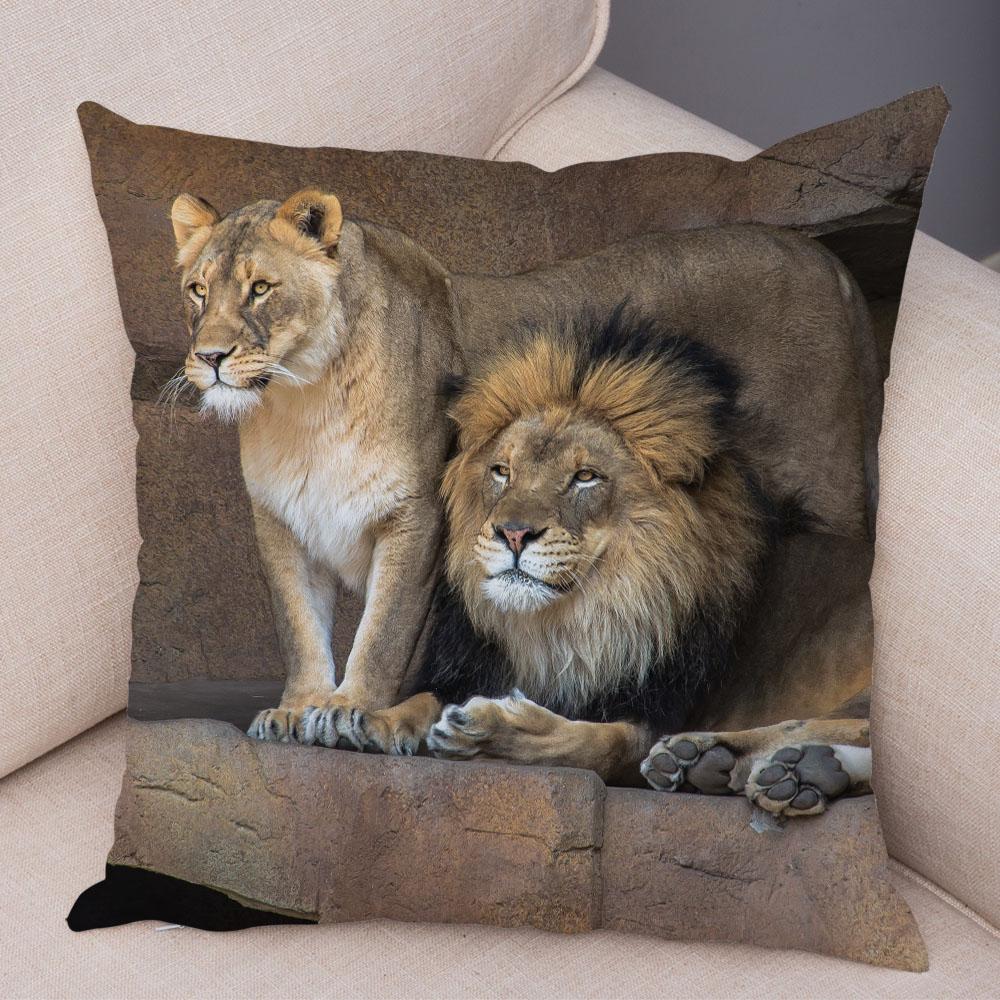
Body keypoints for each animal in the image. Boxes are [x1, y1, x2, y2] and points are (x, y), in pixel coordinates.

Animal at [373, 312, 872, 817]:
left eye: (585, 477)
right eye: (502, 472)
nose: (512, 533)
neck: (572, 625)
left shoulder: (655, 711)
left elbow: (601, 742)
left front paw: (492, 730)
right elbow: (421, 696)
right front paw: (368, 720)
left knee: (843, 728)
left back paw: (722, 758)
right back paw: (791, 772)